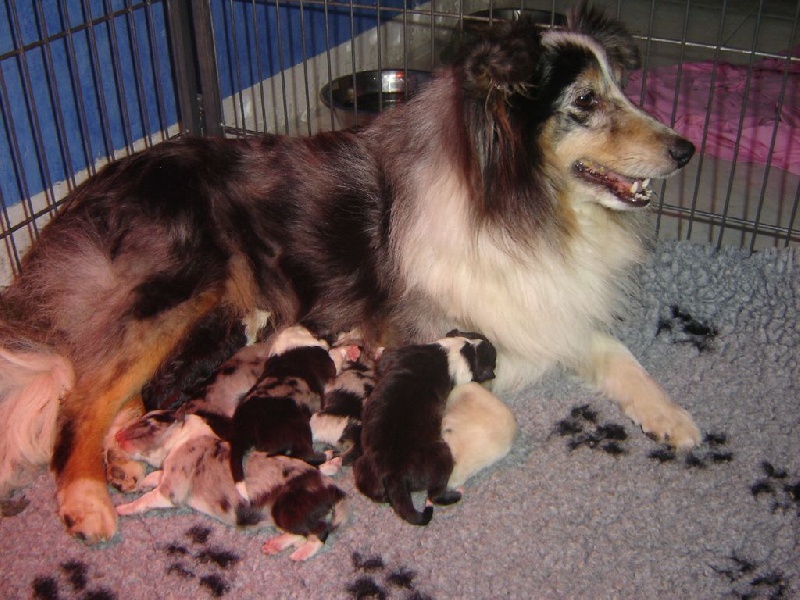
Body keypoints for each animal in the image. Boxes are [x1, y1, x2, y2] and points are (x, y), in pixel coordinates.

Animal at [115, 410, 346, 560]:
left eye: (149, 423)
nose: (116, 436)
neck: (184, 437)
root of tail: (333, 490)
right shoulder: (166, 475)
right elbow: (156, 475)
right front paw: (143, 482)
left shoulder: (171, 491)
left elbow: (145, 499)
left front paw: (123, 508)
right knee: (302, 532)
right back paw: (275, 545)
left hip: (287, 508)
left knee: (320, 533)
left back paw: (299, 554)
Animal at [354, 332, 494, 524]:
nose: (492, 345)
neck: (464, 350)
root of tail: (394, 473)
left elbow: (383, 359)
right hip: (443, 456)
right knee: (435, 495)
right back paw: (455, 493)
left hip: (362, 466)